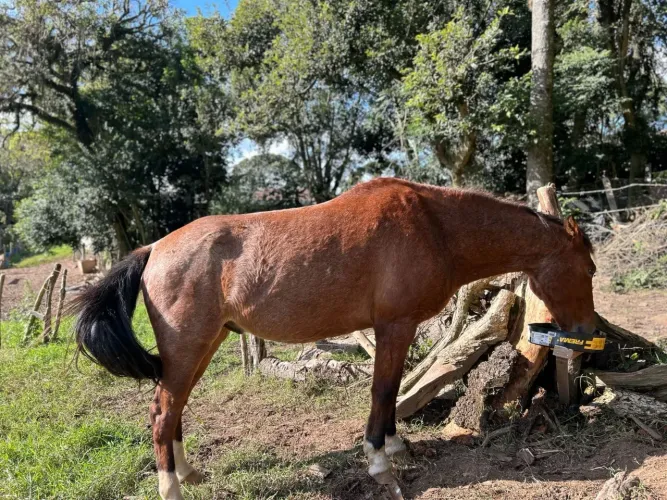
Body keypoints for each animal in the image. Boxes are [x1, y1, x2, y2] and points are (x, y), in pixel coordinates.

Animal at [70, 177, 596, 500]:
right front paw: (380, 463)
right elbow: (383, 391)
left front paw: (396, 446)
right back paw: (172, 488)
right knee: (162, 413)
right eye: (589, 268)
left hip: (203, 345)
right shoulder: (394, 326)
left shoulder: (397, 330)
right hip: (188, 346)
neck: (433, 225)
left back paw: (188, 473)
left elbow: (391, 393)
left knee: (174, 409)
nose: (587, 331)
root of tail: (154, 248)